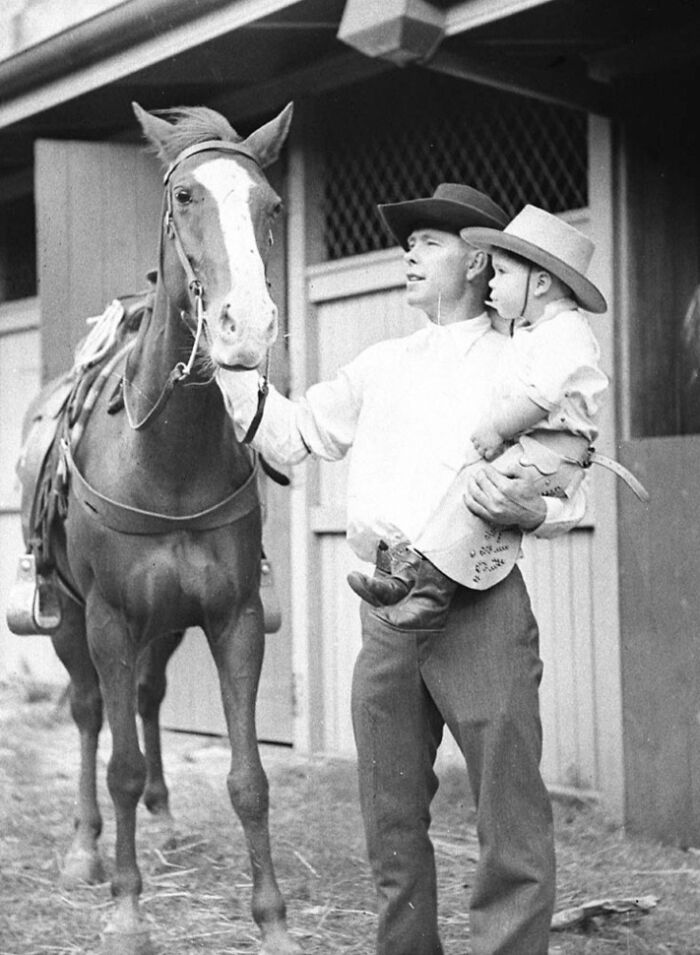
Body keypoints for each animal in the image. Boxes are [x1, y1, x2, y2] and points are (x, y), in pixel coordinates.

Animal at [16, 100, 301, 955]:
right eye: (185, 197)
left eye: (270, 204)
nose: (248, 326)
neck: (166, 454)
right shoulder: (108, 618)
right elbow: (120, 765)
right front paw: (126, 909)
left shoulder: (234, 616)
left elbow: (248, 776)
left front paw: (273, 919)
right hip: (71, 621)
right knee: (89, 716)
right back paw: (85, 847)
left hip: (167, 624)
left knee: (145, 698)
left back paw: (167, 821)